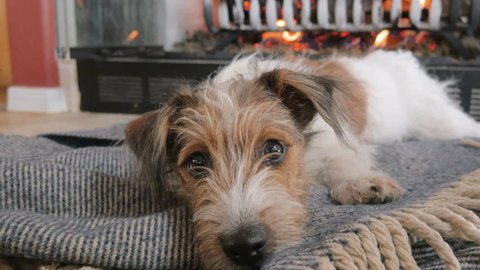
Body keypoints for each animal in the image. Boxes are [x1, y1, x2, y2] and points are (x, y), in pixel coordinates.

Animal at [124, 51, 480, 270]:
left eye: (274, 148)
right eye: (196, 162)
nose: (245, 246)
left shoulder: (335, 142)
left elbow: (342, 160)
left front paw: (362, 183)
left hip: (440, 121)